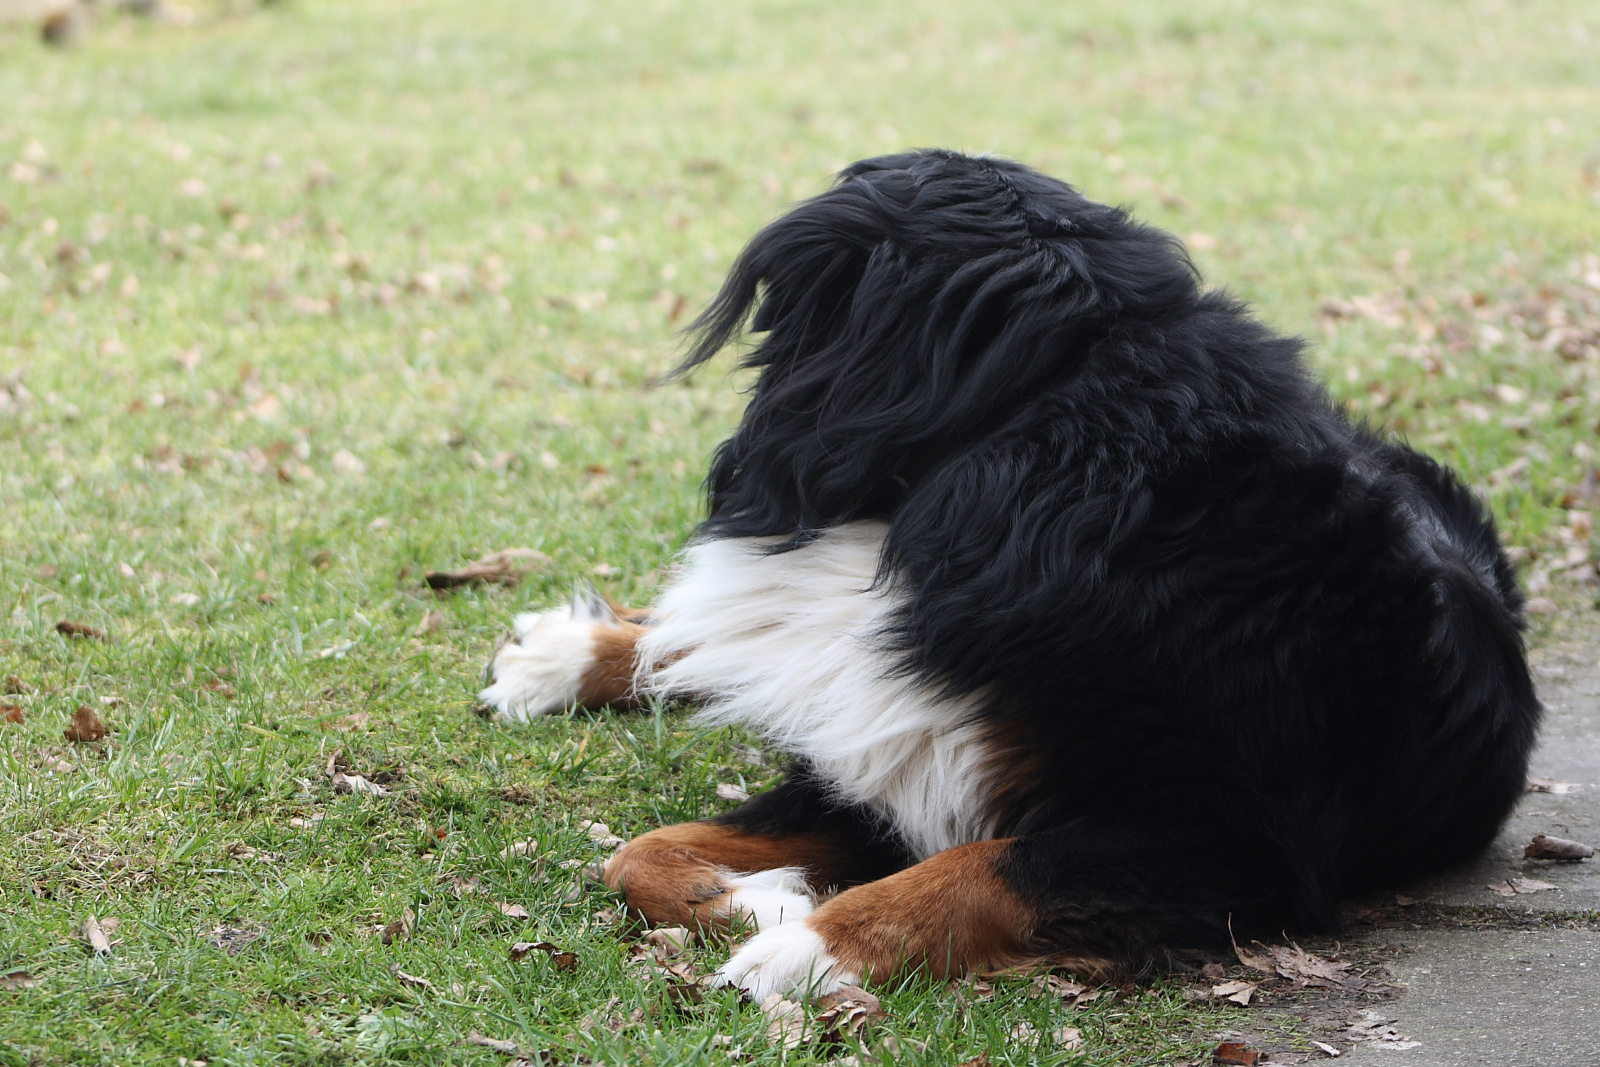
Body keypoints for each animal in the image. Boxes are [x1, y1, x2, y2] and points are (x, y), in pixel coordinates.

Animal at [473, 147, 1536, 1004]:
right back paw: (564, 656)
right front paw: (759, 901)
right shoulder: (882, 766)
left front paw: (804, 945)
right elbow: (636, 854)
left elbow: (981, 869)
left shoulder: (1222, 841)